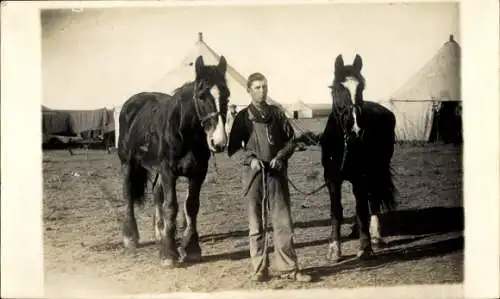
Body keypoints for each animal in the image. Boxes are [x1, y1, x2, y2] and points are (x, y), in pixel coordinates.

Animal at [119, 55, 230, 268]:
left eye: (227, 96)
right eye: (201, 96)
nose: (218, 142)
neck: (185, 132)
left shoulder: (198, 173)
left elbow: (191, 206)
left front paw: (192, 248)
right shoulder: (168, 171)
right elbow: (171, 207)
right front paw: (169, 254)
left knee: (156, 193)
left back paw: (159, 233)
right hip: (129, 163)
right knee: (128, 193)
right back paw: (130, 237)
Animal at [320, 54, 398, 262]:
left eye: (361, 87)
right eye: (338, 88)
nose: (355, 128)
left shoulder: (361, 177)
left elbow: (362, 208)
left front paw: (366, 247)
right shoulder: (332, 179)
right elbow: (336, 211)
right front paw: (334, 249)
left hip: (377, 170)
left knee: (374, 199)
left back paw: (375, 235)